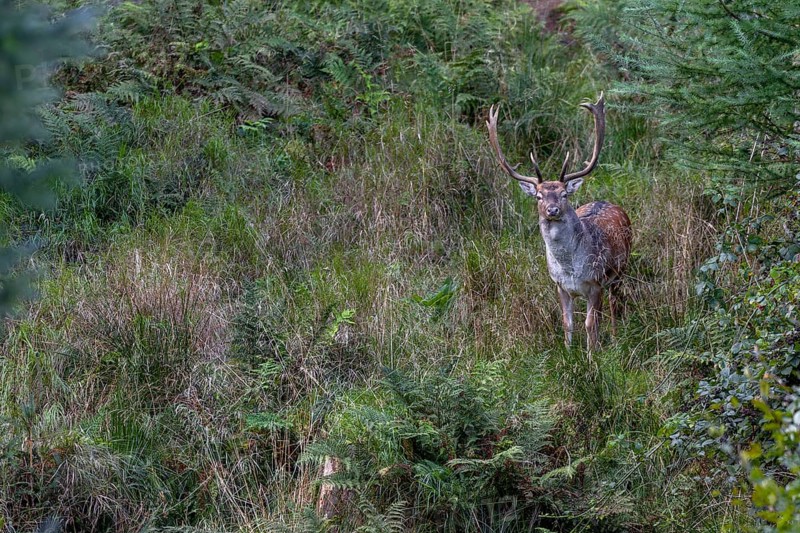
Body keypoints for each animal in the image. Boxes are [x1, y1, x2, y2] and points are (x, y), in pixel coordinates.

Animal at [485, 93, 632, 351]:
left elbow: (590, 324)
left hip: (620, 270)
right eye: (538, 196)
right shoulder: (560, 285)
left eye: (564, 194)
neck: (569, 268)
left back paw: (615, 339)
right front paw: (569, 351)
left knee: (616, 306)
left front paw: (592, 355)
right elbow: (567, 323)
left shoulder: (595, 282)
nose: (552, 209)